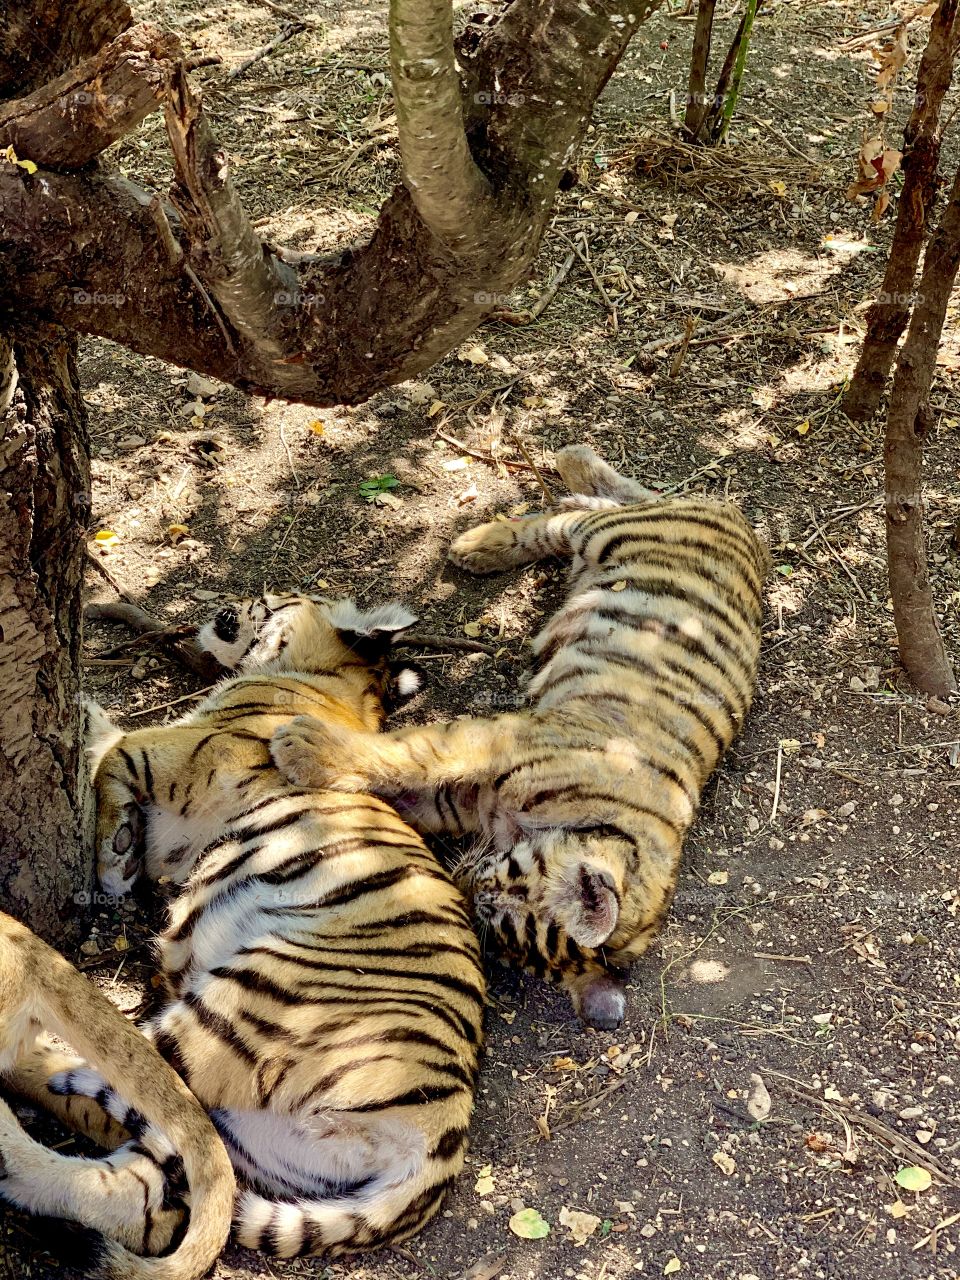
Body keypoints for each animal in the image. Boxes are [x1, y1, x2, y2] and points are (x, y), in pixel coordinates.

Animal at [55, 592, 484, 1261]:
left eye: (271, 599)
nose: (231, 602)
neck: (329, 684)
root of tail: (443, 1134)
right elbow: (105, 737)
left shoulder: (174, 753)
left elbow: (112, 754)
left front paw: (113, 859)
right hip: (254, 1139)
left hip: (246, 1000)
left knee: (132, 1064)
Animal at [271, 446, 767, 1031]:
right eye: (494, 897)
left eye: (492, 919)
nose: (461, 883)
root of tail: (744, 524)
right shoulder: (497, 739)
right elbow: (408, 753)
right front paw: (303, 748)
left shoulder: (467, 798)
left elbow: (410, 790)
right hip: (611, 535)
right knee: (571, 514)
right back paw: (489, 533)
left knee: (604, 501)